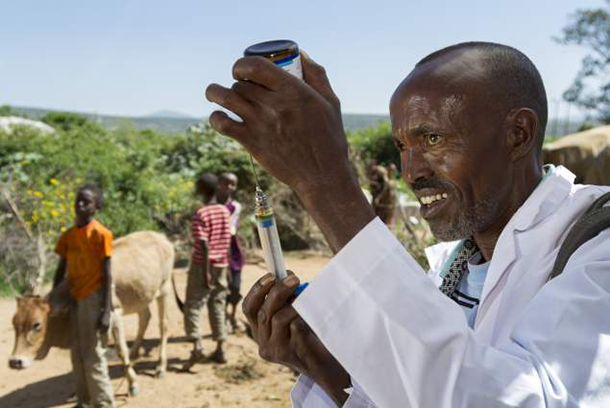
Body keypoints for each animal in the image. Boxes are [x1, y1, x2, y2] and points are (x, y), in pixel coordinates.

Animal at [9, 231, 177, 396]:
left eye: (36, 324)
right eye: (14, 323)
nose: (15, 361)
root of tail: (161, 237)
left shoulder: (114, 314)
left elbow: (120, 351)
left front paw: (133, 385)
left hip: (164, 289)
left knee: (164, 325)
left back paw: (160, 367)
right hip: (141, 295)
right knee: (145, 317)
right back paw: (134, 353)